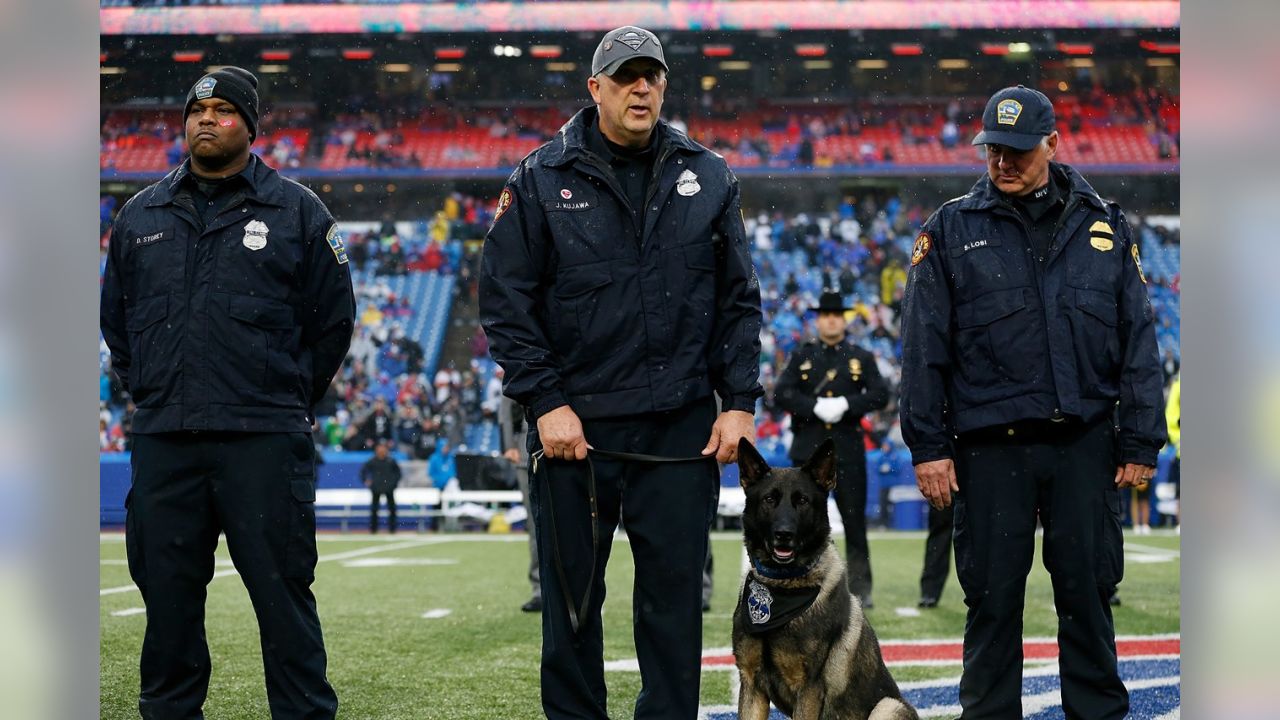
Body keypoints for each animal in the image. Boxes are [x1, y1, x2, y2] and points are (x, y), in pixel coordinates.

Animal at [732, 435, 921, 717]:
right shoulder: (751, 685)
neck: (782, 586)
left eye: (802, 501)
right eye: (769, 500)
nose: (784, 534)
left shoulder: (809, 688)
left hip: (887, 705)